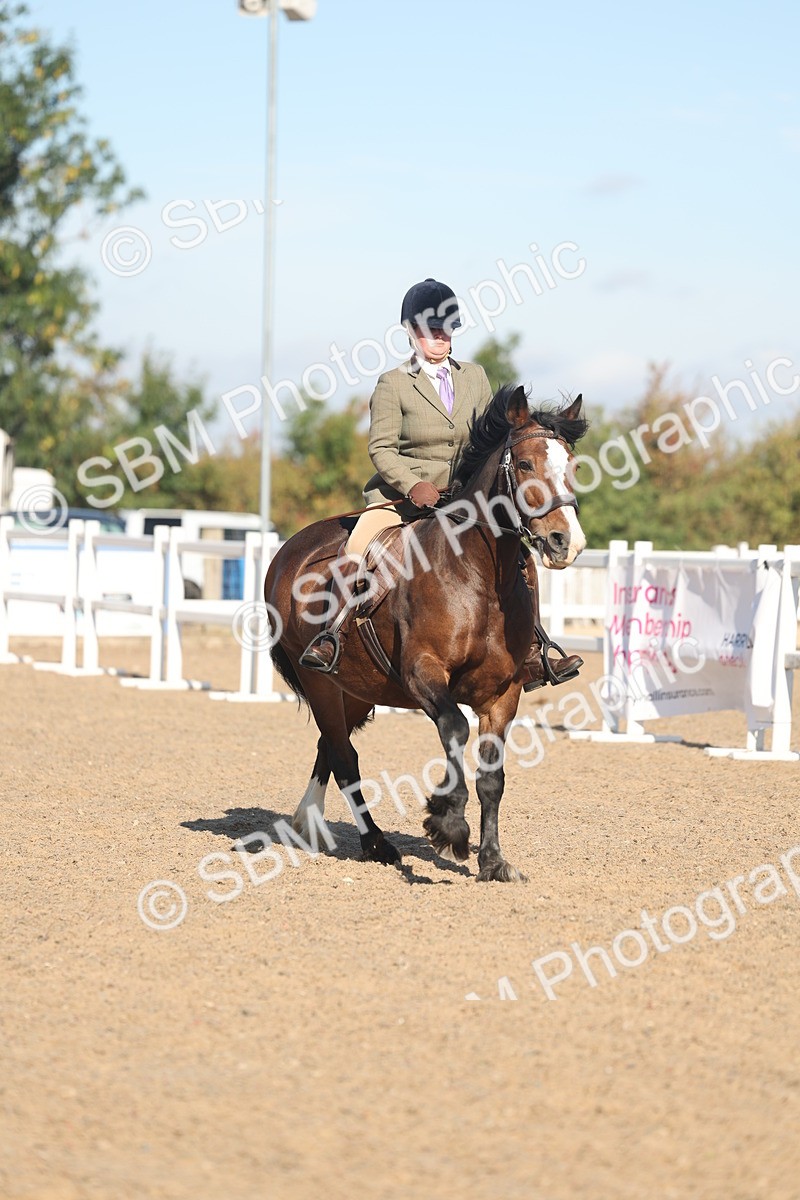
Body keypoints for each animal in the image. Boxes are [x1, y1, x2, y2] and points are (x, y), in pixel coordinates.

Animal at [264, 384, 588, 882]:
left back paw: (308, 823)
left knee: (330, 747)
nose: (564, 542)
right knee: (344, 758)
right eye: (525, 464)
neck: (476, 577)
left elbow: (492, 778)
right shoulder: (422, 673)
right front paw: (448, 824)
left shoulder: (504, 693)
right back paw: (376, 844)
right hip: (320, 681)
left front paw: (494, 861)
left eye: (572, 465)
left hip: (355, 689)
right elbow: (454, 726)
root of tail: (288, 550)